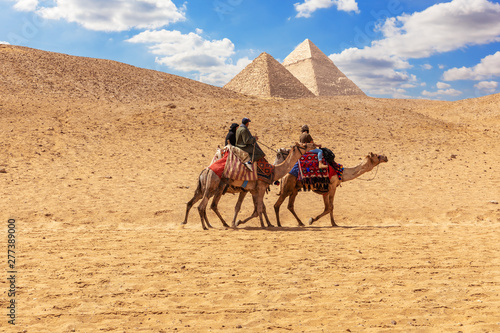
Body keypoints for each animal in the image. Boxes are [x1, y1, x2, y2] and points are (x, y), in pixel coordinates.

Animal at [183, 141, 316, 230]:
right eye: (304, 145)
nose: (314, 144)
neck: (273, 171)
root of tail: (205, 171)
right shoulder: (259, 188)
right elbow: (259, 209)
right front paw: (261, 224)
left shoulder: (251, 190)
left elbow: (254, 208)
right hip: (214, 187)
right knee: (206, 206)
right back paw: (210, 225)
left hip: (205, 189)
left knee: (195, 203)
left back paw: (193, 223)